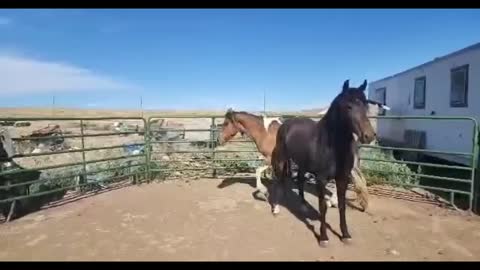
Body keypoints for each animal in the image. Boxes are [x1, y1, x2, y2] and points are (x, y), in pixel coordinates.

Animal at [270, 79, 376, 246]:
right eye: (348, 106)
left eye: (366, 105)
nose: (369, 135)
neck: (331, 146)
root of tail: (286, 123)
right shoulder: (321, 179)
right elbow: (323, 207)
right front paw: (324, 237)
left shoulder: (342, 179)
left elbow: (342, 206)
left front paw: (345, 235)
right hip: (281, 160)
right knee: (278, 181)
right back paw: (276, 208)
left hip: (302, 163)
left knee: (300, 180)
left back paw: (303, 205)